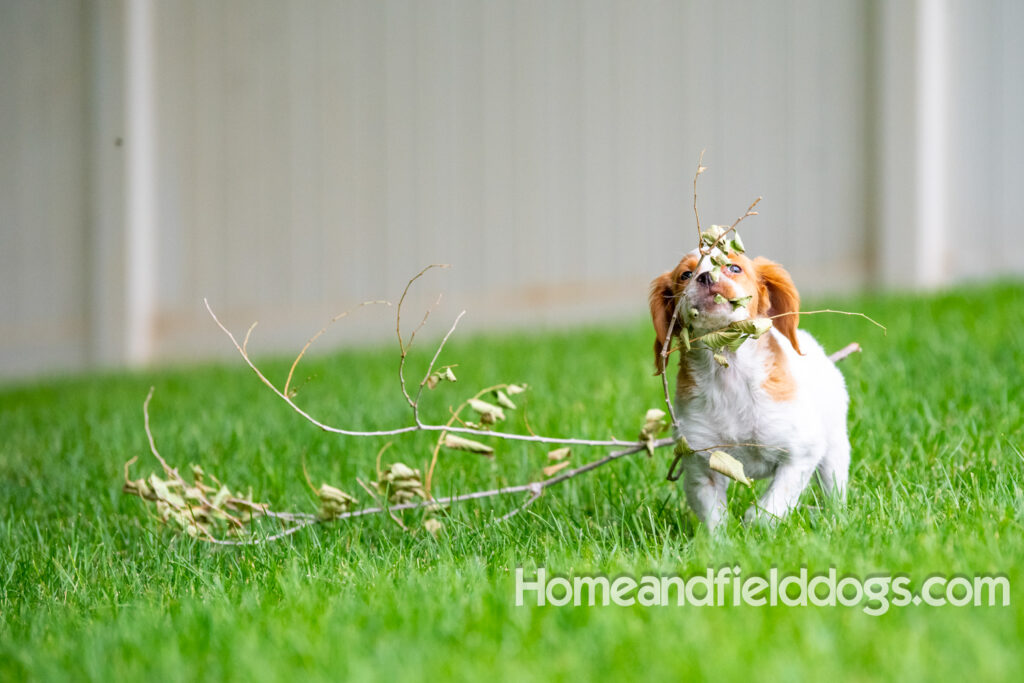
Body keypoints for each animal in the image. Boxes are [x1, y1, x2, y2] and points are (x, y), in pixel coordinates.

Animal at [651, 248, 851, 532]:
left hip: (834, 448)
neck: (728, 371)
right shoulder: (701, 465)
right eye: (686, 275)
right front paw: (723, 540)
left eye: (734, 268)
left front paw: (757, 524)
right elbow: (715, 519)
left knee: (834, 492)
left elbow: (773, 503)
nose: (705, 276)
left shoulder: (802, 452)